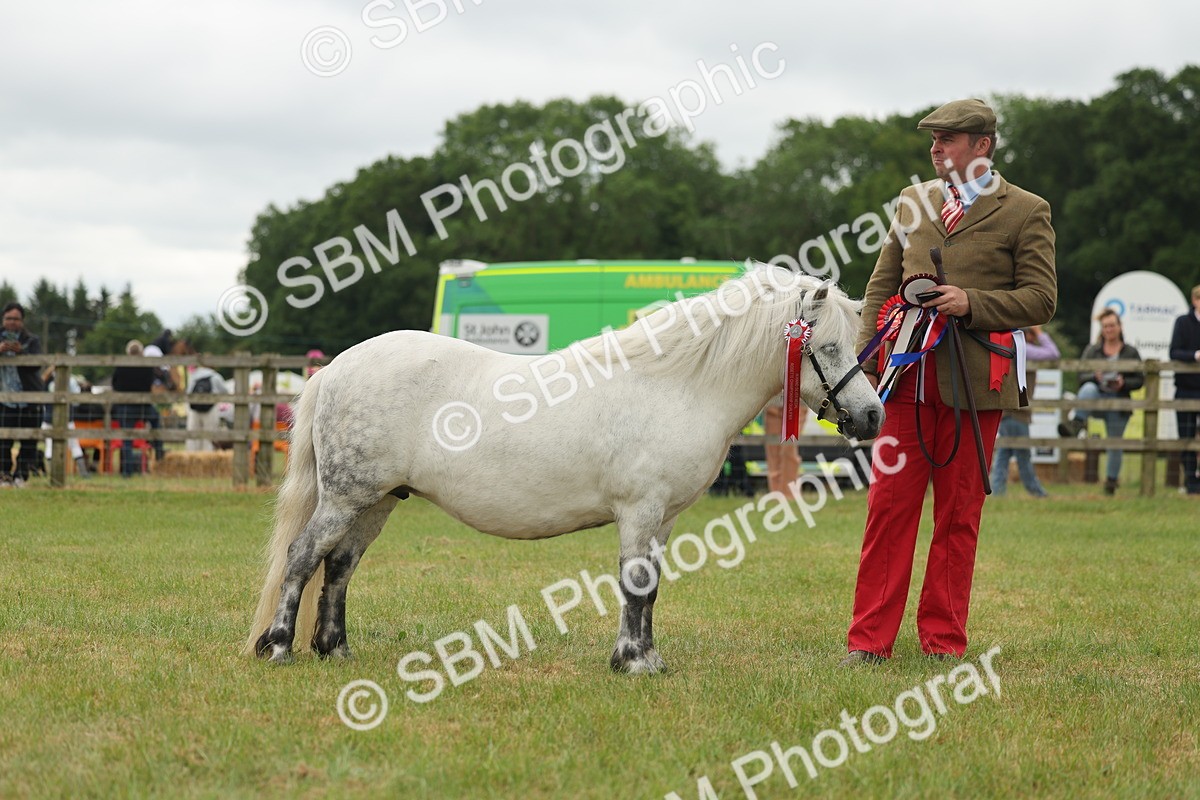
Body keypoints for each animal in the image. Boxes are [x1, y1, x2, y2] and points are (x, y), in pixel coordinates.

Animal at [245, 262, 884, 673]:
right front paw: (633, 663)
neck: (676, 386)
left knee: (339, 566)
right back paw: (279, 648)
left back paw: (335, 650)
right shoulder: (640, 511)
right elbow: (636, 584)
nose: (872, 415)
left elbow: (651, 588)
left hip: (377, 501)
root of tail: (336, 367)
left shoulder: (664, 518)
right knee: (303, 557)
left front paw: (648, 658)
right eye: (828, 347)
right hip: (346, 497)